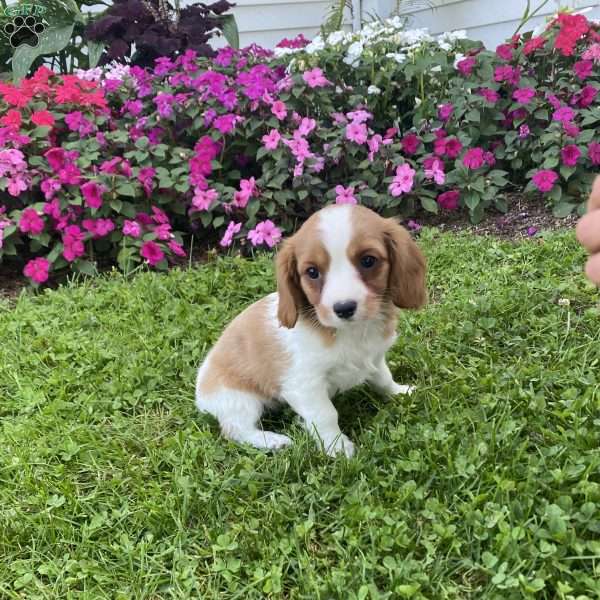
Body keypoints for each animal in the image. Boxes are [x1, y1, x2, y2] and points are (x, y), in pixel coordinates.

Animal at [196, 204, 426, 458]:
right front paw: (337, 446)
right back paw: (273, 441)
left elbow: (384, 379)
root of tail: (200, 395)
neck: (349, 332)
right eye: (312, 272)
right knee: (236, 429)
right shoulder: (305, 384)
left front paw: (400, 392)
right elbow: (325, 415)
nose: (343, 308)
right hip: (239, 401)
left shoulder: (374, 358)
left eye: (368, 260)